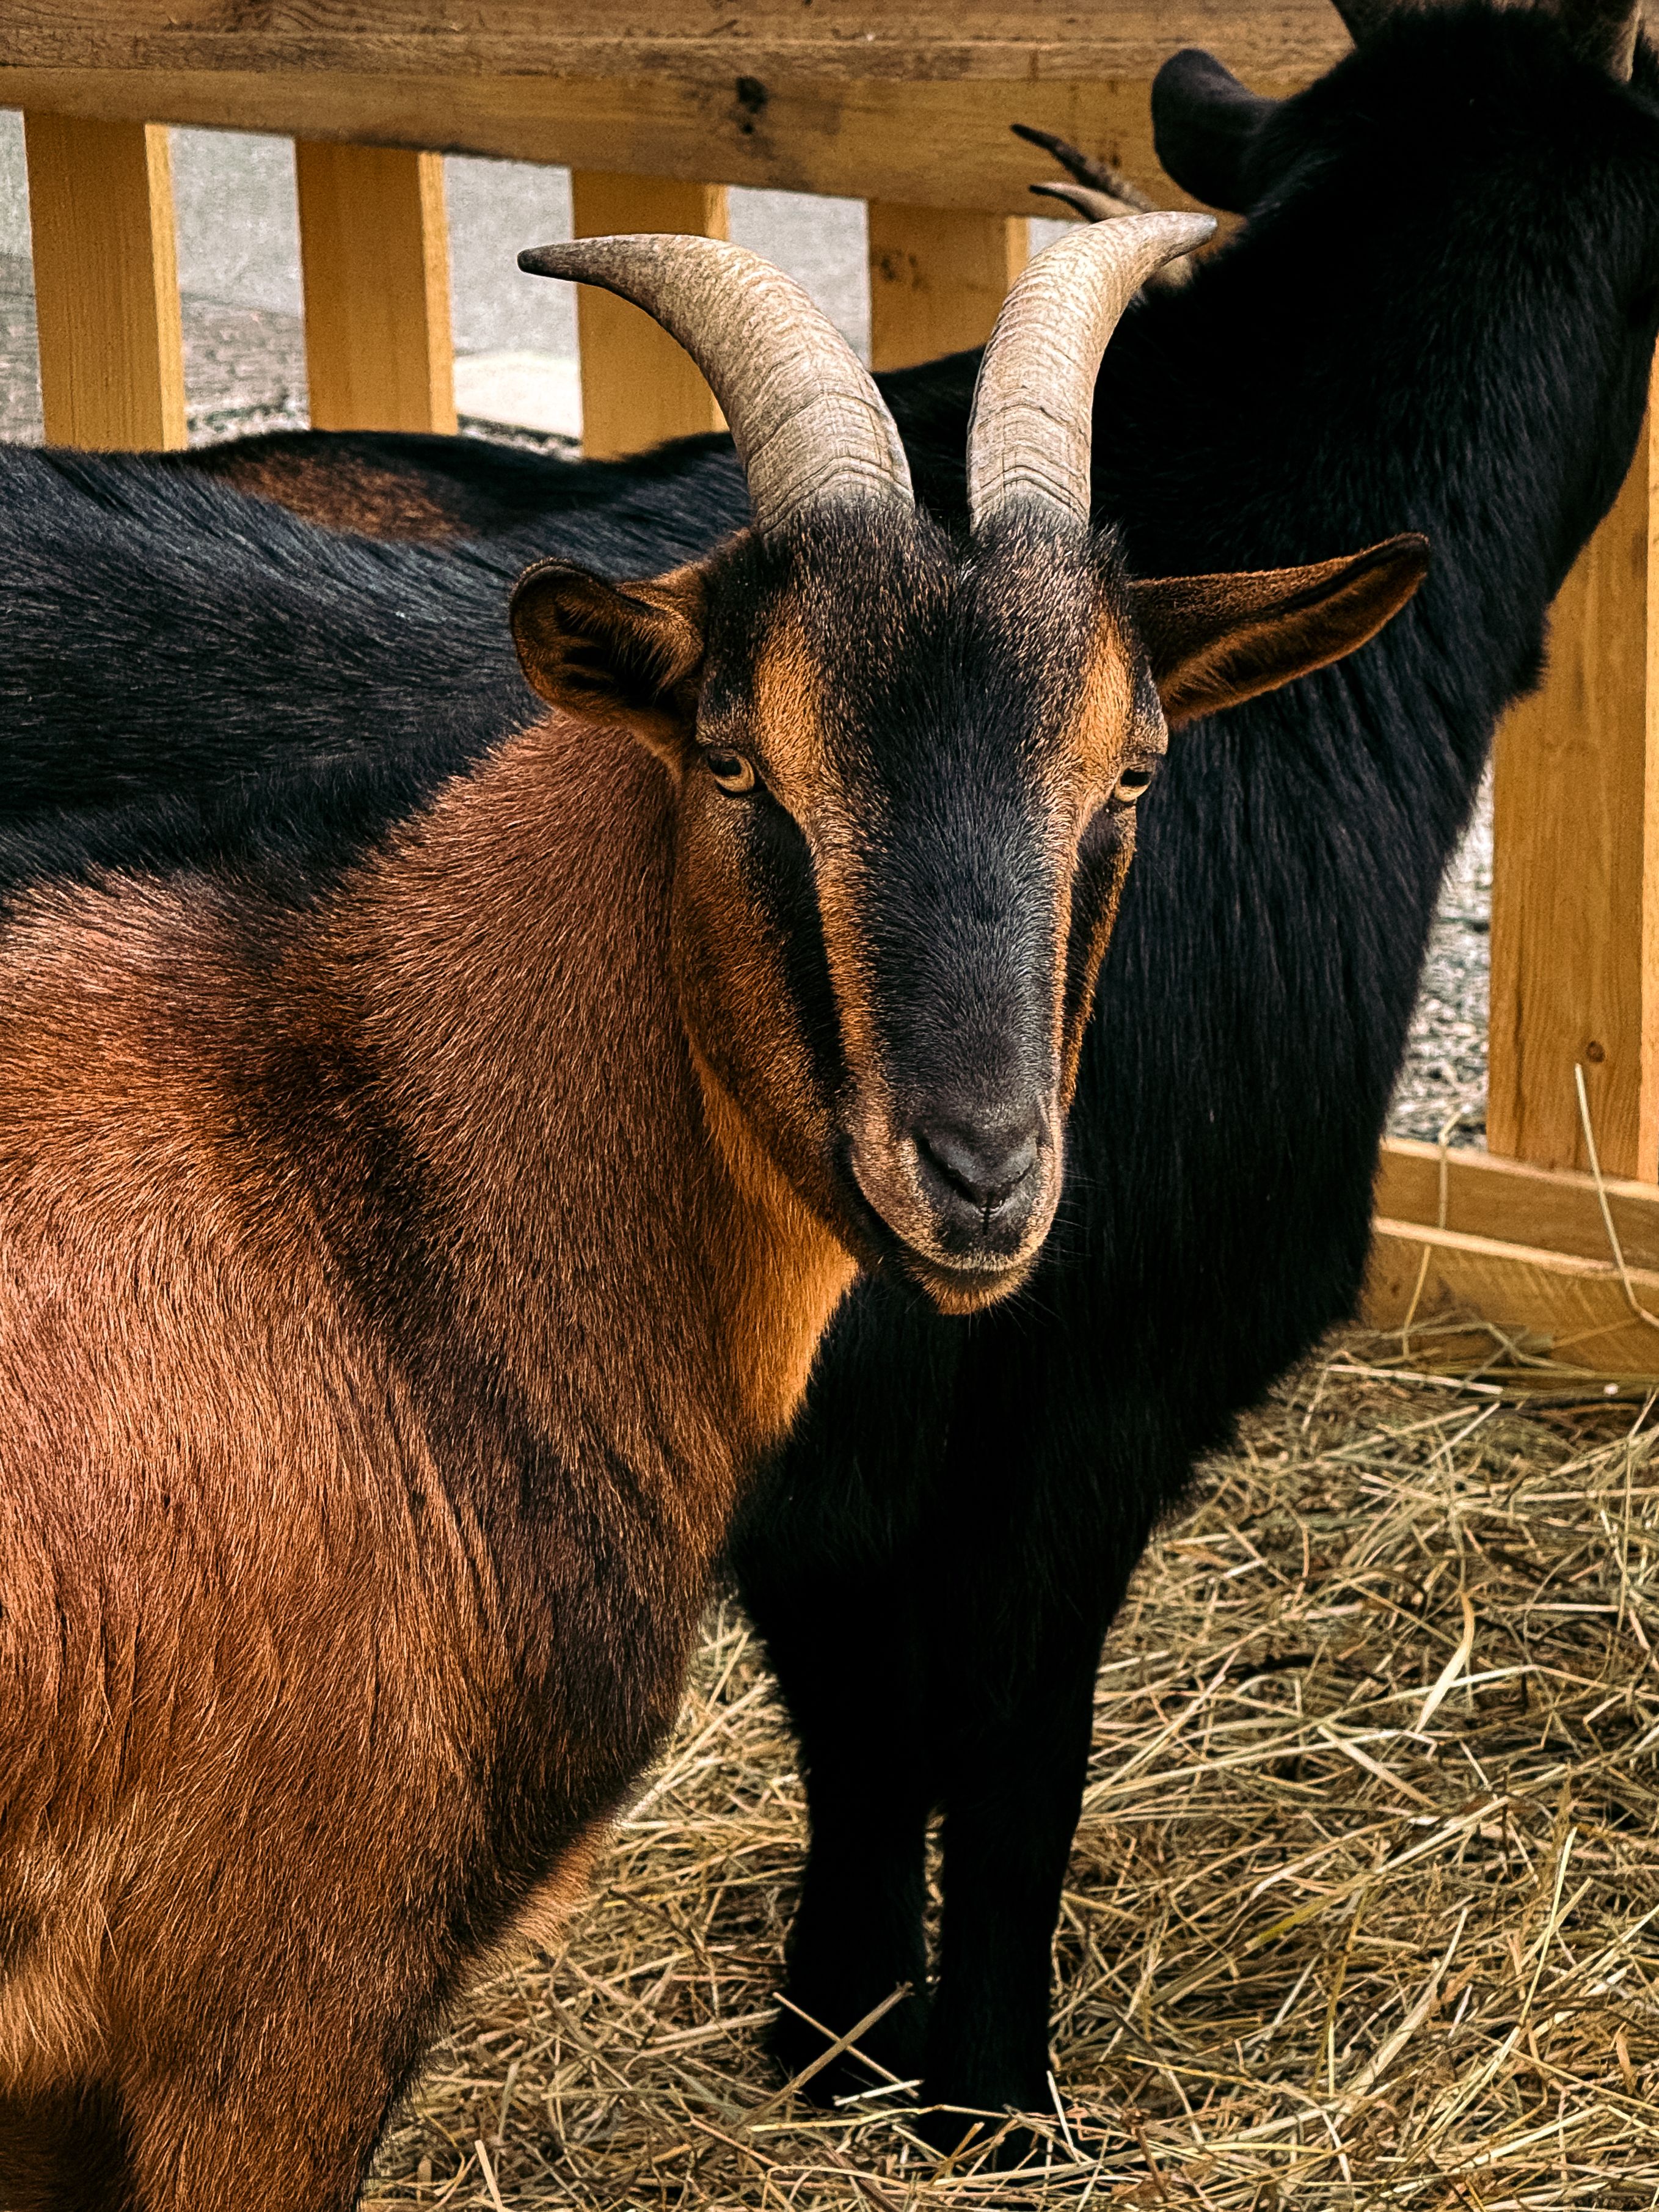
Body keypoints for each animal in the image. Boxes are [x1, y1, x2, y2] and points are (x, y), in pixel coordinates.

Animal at [82, 0, 1659, 2149]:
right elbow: (1006, 1750)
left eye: (1132, 770)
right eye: (741, 776)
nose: (979, 1169)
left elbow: (854, 1711)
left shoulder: (834, 1414)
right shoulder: (1080, 1400)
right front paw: (990, 2098)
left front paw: (829, 2034)